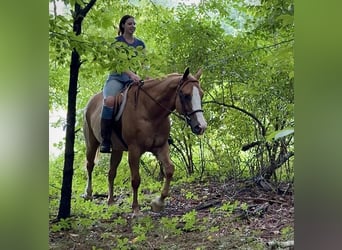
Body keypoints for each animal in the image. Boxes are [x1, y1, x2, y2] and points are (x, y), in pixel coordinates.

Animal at [81, 68, 207, 215]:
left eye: (201, 94)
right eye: (186, 95)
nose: (201, 126)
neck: (148, 110)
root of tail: (91, 102)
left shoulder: (161, 146)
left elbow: (169, 169)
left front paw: (158, 202)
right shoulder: (134, 150)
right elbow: (136, 179)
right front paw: (136, 209)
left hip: (117, 149)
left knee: (111, 173)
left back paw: (111, 201)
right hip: (91, 143)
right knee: (90, 165)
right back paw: (88, 194)